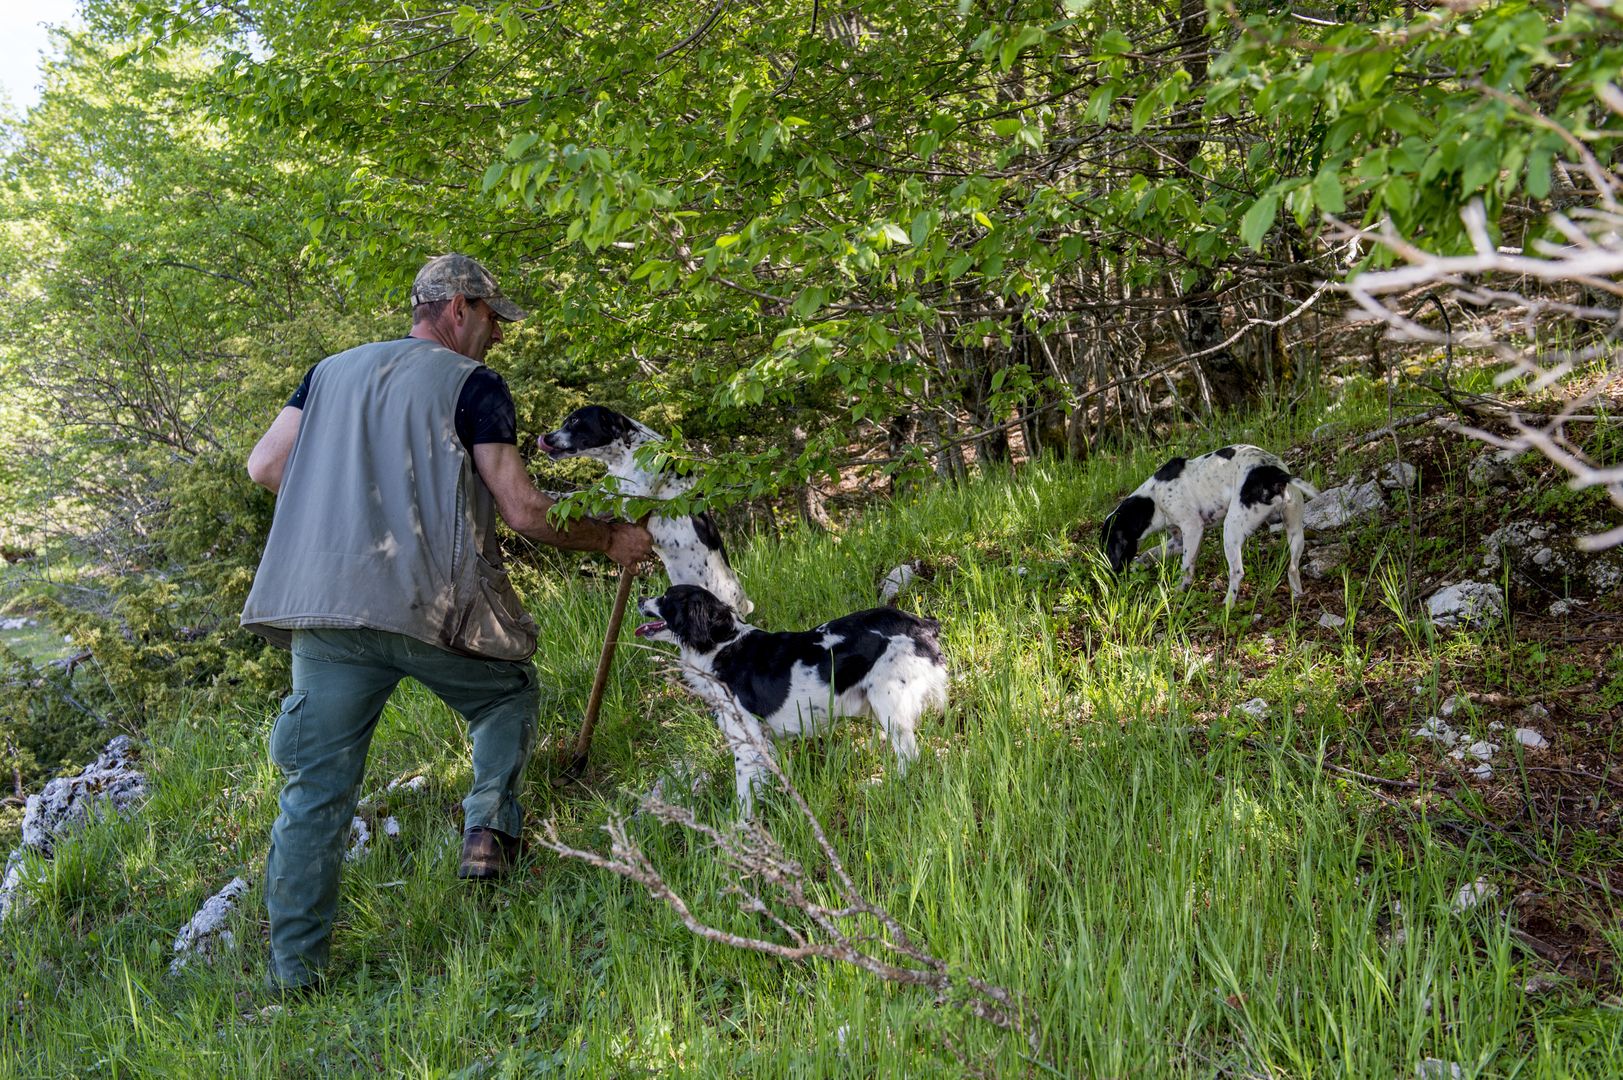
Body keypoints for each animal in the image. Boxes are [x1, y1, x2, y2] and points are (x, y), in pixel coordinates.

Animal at [538, 404, 753, 613]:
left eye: (574, 420)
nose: (546, 437)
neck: (627, 453)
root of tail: (744, 604)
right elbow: (577, 497)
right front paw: (550, 495)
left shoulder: (631, 501)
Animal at [626, 581, 947, 808]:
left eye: (666, 597)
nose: (639, 599)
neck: (723, 646)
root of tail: (923, 624)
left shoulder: (745, 739)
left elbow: (744, 793)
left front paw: (741, 829)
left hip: (888, 698)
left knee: (908, 755)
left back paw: (885, 784)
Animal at [1103, 441, 1317, 607]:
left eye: (1109, 548)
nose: (1112, 574)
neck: (1152, 499)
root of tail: (1271, 472)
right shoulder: (1178, 541)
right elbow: (1150, 553)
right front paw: (1139, 565)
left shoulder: (1192, 529)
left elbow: (1186, 566)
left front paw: (1181, 589)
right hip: (1295, 532)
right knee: (1293, 568)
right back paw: (1297, 594)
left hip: (1230, 532)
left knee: (1237, 572)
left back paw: (1227, 605)